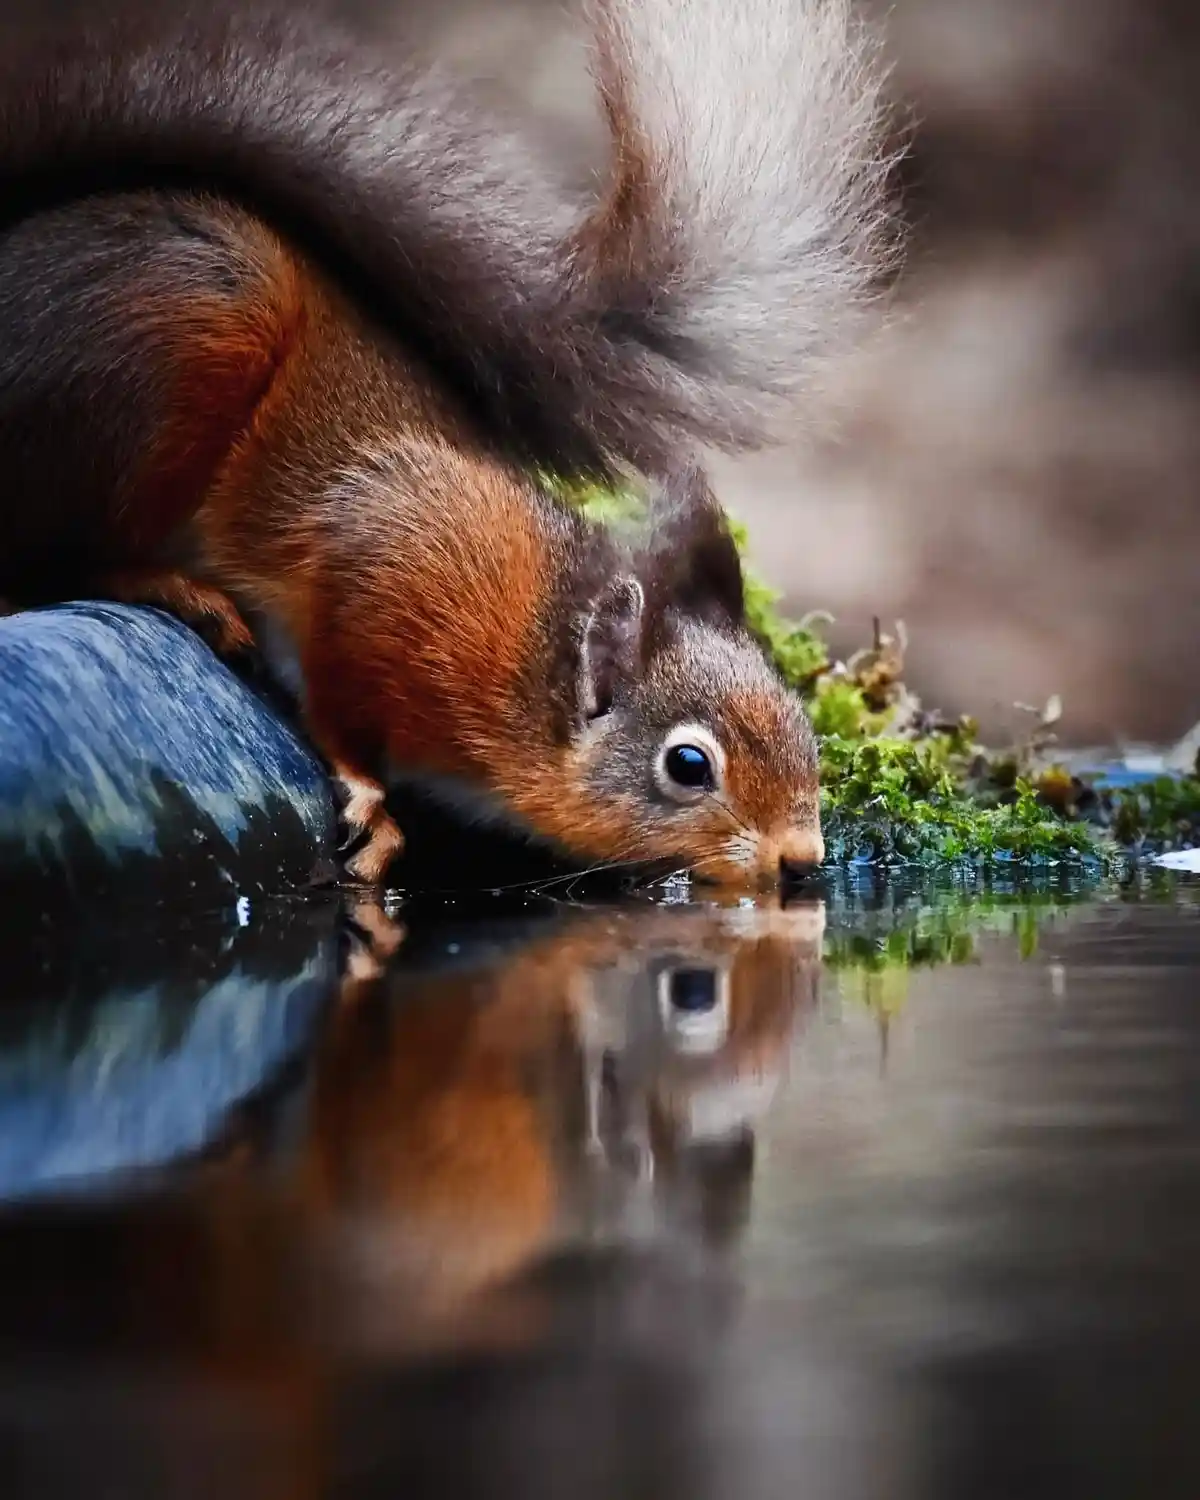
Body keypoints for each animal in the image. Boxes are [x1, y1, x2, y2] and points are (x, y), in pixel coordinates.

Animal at [0, 0, 894, 888]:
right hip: (192, 327)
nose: (801, 860)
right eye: (688, 765)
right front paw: (369, 797)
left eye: (805, 731)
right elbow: (335, 693)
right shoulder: (394, 549)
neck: (533, 648)